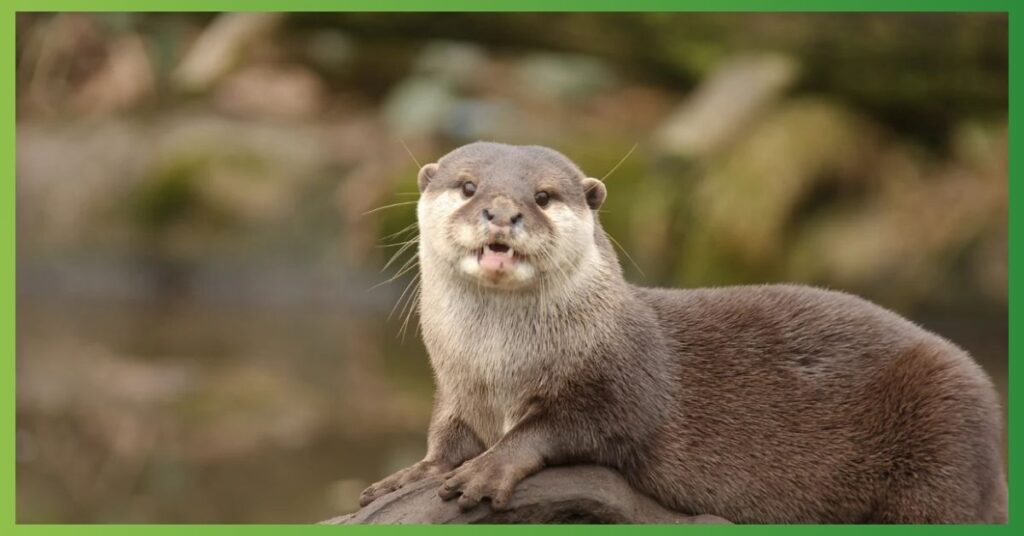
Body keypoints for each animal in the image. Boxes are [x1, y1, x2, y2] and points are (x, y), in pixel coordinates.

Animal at [358, 141, 1007, 524]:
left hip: (945, 441)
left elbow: (566, 428)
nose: (502, 211)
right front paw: (408, 476)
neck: (498, 368)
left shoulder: (622, 383)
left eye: (542, 196)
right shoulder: (455, 388)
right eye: (468, 186)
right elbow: (445, 435)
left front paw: (488, 468)